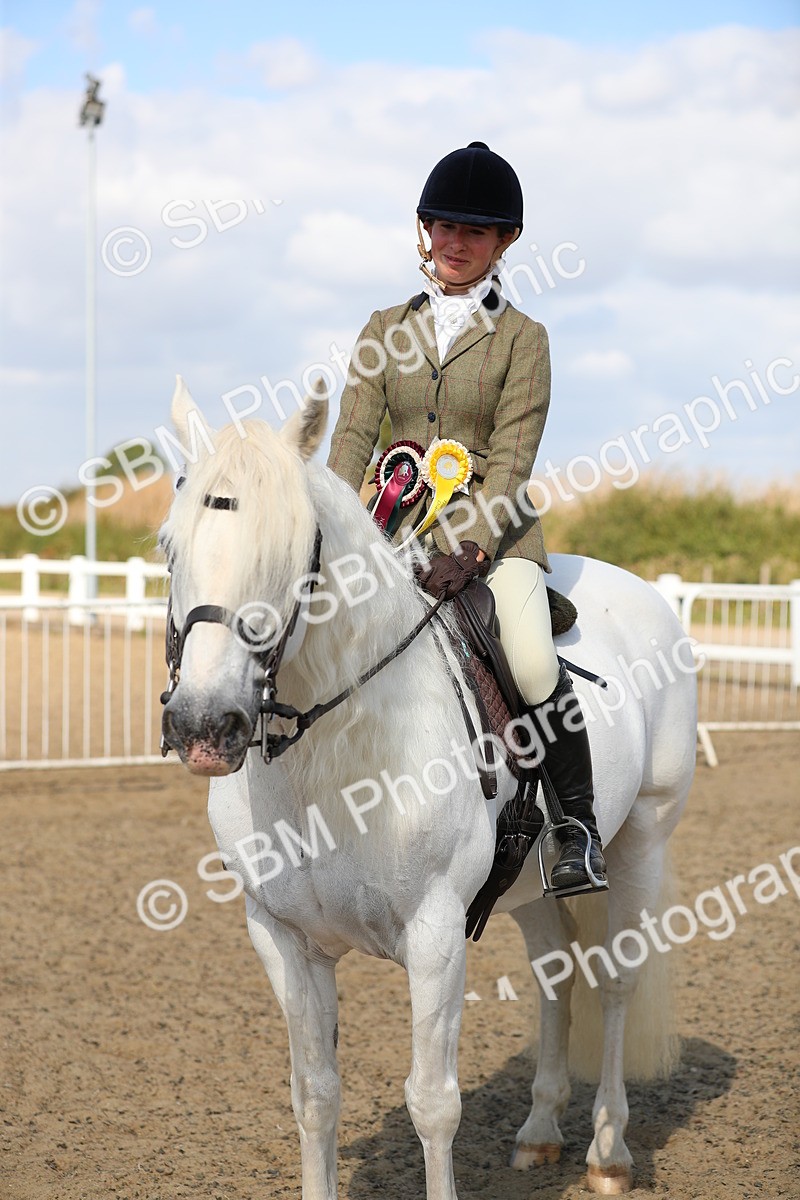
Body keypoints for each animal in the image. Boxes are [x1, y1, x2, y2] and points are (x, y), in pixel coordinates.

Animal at [160, 376, 697, 1198]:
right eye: (169, 547)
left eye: (294, 551)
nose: (202, 725)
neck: (331, 759)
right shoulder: (282, 938)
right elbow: (315, 1095)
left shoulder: (436, 934)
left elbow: (433, 1103)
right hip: (531, 884)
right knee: (555, 976)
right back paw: (541, 1131)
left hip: (642, 840)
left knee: (614, 982)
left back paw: (608, 1150)